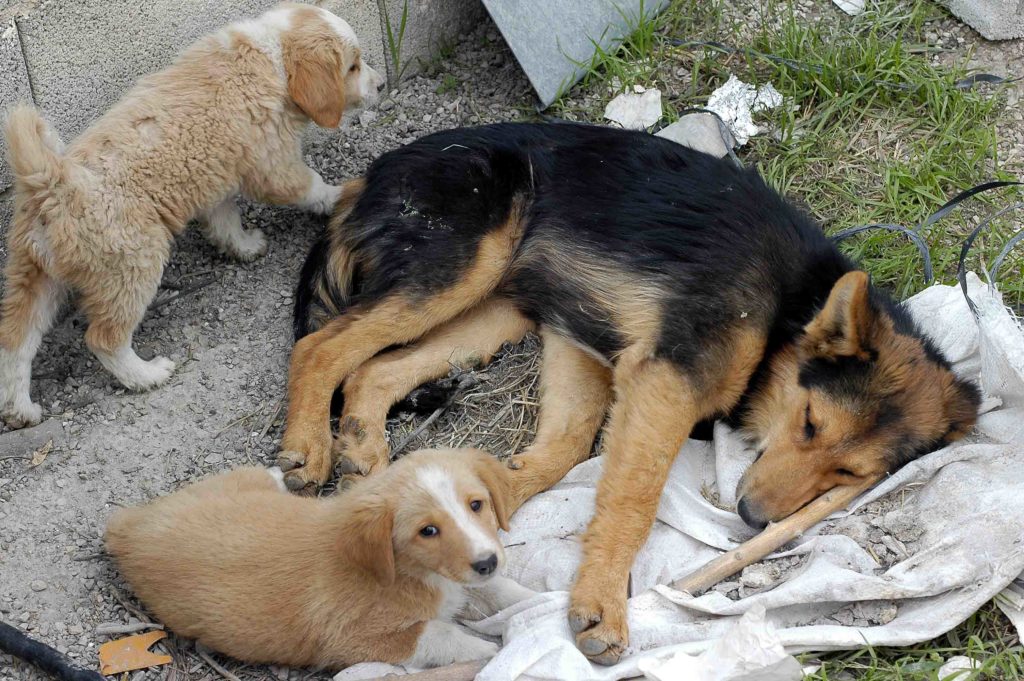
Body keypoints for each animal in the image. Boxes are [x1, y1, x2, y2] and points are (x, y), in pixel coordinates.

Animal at [0, 5, 385, 428]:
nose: (382, 85)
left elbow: (225, 221)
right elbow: (310, 186)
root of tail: (51, 183)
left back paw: (20, 410)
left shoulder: (215, 179)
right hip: (132, 268)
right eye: (353, 66)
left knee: (14, 344)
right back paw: (146, 375)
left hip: (35, 280)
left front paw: (244, 246)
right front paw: (340, 194)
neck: (273, 57)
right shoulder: (274, 166)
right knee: (103, 339)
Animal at [103, 448, 536, 667]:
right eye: (427, 531)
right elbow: (437, 635)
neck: (403, 570)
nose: (486, 561)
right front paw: (489, 650)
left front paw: (533, 600)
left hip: (225, 485)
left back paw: (276, 474)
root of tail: (127, 524)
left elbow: (496, 589)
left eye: (476, 504)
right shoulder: (353, 640)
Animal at [278, 122, 974, 663]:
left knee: (372, 369)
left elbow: (562, 448)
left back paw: (365, 453)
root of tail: (366, 177)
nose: (751, 520)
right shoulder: (665, 378)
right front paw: (603, 604)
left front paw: (493, 496)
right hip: (466, 262)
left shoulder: (574, 340)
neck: (788, 311)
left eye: (847, 473)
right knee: (321, 348)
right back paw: (309, 450)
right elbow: (633, 496)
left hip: (497, 309)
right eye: (807, 423)